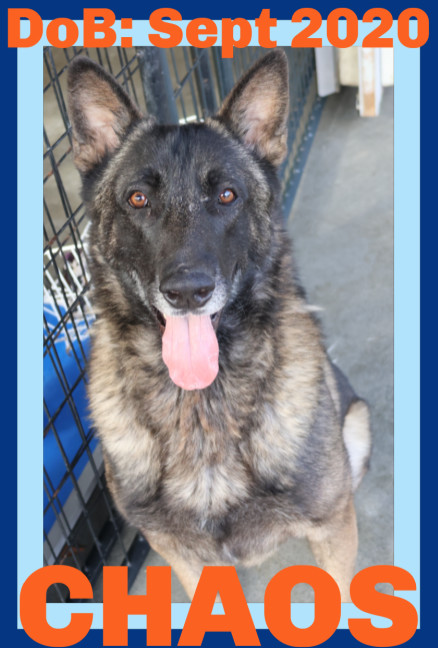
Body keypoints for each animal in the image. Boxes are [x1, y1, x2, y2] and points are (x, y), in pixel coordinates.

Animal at [66, 50, 372, 604]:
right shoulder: (183, 556)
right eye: (137, 199)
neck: (200, 409)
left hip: (356, 429)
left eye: (227, 195)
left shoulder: (332, 526)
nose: (187, 291)